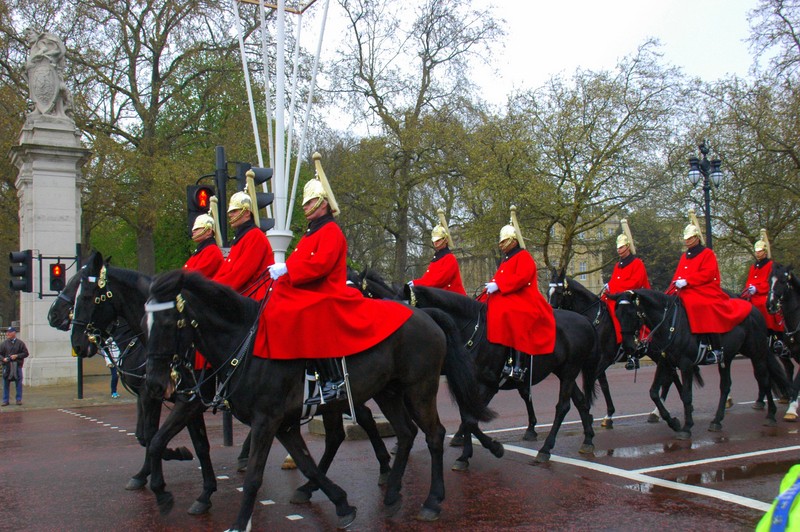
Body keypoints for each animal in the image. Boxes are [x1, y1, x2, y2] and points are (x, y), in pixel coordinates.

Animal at [144, 272, 494, 528]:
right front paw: (341, 504)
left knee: (434, 435)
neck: (246, 345)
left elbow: (255, 476)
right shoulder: (280, 423)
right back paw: (393, 494)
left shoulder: (266, 420)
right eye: (146, 324)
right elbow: (307, 464)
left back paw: (433, 500)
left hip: (419, 389)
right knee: (405, 433)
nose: (155, 384)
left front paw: (239, 523)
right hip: (388, 392)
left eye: (167, 323)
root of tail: (425, 315)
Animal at [410, 282, 596, 466]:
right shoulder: (468, 386)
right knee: (580, 401)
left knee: (562, 406)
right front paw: (464, 455)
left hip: (570, 371)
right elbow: (467, 417)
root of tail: (584, 319)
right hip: (563, 372)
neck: (473, 332)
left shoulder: (488, 385)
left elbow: (470, 418)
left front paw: (494, 448)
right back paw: (588, 440)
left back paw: (545, 449)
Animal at [548, 274, 684, 428]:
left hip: (658, 353)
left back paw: (661, 410)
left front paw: (588, 413)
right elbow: (604, 385)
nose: (551, 315)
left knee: (672, 375)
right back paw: (659, 411)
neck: (594, 319)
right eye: (548, 292)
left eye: (558, 292)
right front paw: (608, 414)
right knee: (670, 376)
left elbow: (590, 383)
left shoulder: (604, 360)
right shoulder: (598, 362)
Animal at [608, 288, 792, 438]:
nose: (629, 347)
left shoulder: (686, 364)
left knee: (764, 378)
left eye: (631, 313)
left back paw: (771, 415)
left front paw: (686, 427)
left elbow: (686, 395)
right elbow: (653, 392)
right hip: (728, 357)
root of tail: (754, 309)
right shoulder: (665, 362)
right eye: (616, 315)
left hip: (756, 352)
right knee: (726, 385)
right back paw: (717, 421)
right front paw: (673, 422)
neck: (669, 324)